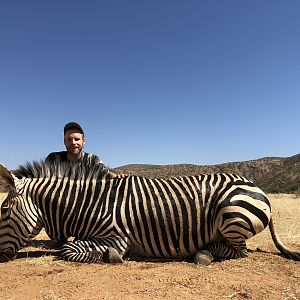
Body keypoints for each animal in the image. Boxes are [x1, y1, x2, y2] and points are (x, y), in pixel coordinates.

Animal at [0, 159, 298, 264]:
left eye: (3, 210)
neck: (89, 203)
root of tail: (253, 184)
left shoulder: (117, 236)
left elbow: (68, 250)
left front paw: (112, 257)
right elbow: (68, 248)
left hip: (231, 215)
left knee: (238, 252)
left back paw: (202, 253)